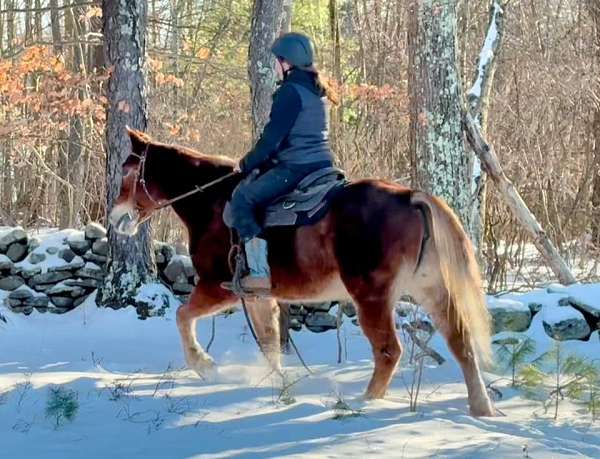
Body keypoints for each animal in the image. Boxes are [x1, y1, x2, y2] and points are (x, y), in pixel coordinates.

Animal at [110, 129, 494, 416]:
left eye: (127, 172)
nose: (116, 219)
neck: (212, 203)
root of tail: (410, 197)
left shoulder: (217, 288)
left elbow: (182, 316)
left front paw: (205, 365)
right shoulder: (257, 298)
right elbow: (269, 343)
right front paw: (279, 385)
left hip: (372, 297)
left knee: (388, 351)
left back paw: (363, 403)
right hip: (432, 290)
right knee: (461, 343)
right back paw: (481, 408)